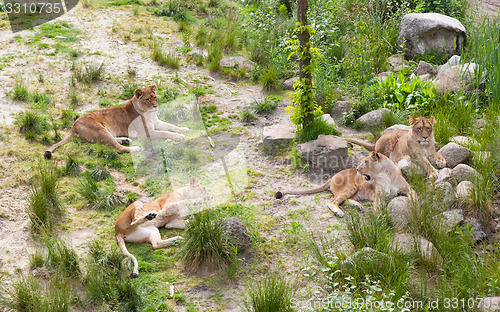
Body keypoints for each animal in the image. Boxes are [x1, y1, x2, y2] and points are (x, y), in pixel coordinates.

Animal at [43, 84, 189, 160]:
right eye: (147, 99)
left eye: (155, 97)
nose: (155, 106)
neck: (149, 113)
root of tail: (74, 125)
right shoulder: (146, 132)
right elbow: (165, 132)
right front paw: (179, 136)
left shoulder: (156, 123)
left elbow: (170, 126)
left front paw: (184, 129)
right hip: (100, 129)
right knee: (117, 148)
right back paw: (134, 148)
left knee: (112, 142)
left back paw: (125, 139)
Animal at [276, 151, 412, 217]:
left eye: (365, 161)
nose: (357, 169)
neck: (385, 174)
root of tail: (332, 177)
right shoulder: (379, 195)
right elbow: (377, 206)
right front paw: (379, 218)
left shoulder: (409, 189)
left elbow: (414, 197)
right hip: (351, 186)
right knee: (333, 202)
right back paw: (339, 212)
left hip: (357, 192)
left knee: (346, 200)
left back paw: (358, 206)